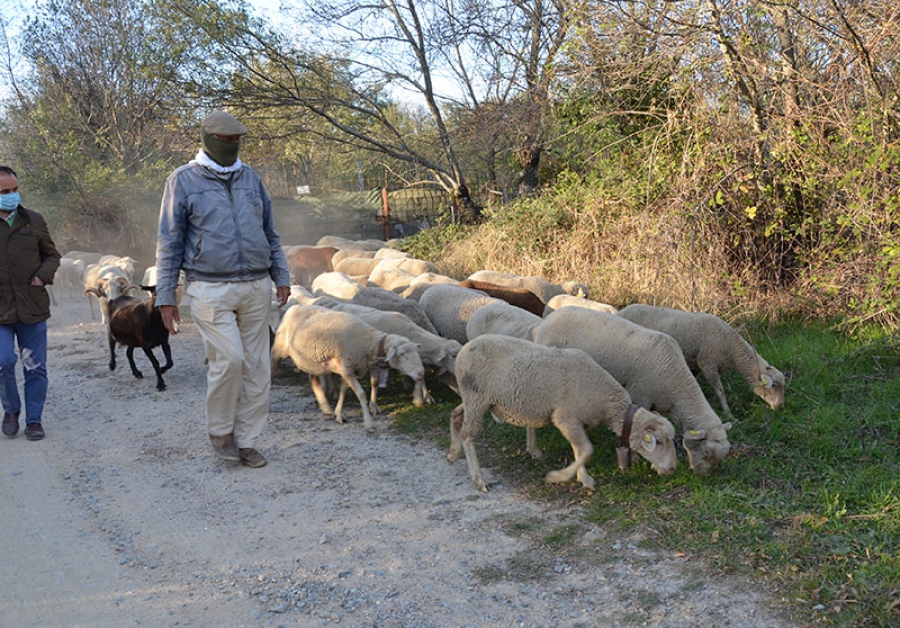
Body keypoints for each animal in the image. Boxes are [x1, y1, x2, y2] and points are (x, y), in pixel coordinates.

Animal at [270, 304, 426, 432]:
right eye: (402, 354)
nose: (421, 373)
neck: (367, 342)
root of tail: (295, 306)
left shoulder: (349, 368)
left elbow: (346, 390)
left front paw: (339, 414)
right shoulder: (346, 368)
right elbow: (361, 394)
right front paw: (368, 423)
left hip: (311, 360)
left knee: (313, 380)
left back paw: (326, 408)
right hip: (279, 349)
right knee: (271, 371)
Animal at [450, 336, 676, 494]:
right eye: (660, 442)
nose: (673, 468)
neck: (607, 401)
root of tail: (464, 349)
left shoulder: (577, 421)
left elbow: (579, 450)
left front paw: (580, 476)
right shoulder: (565, 418)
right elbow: (586, 450)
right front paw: (562, 477)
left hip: (475, 400)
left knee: (455, 415)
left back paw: (453, 452)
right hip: (476, 398)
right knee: (468, 435)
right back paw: (479, 480)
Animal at [536, 306, 732, 474]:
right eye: (707, 453)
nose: (703, 475)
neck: (677, 386)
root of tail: (549, 318)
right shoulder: (640, 396)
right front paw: (639, 459)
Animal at [620, 302, 788, 418]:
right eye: (773, 386)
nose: (780, 407)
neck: (731, 347)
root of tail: (622, 311)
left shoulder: (696, 365)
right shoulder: (708, 364)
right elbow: (720, 392)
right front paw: (729, 414)